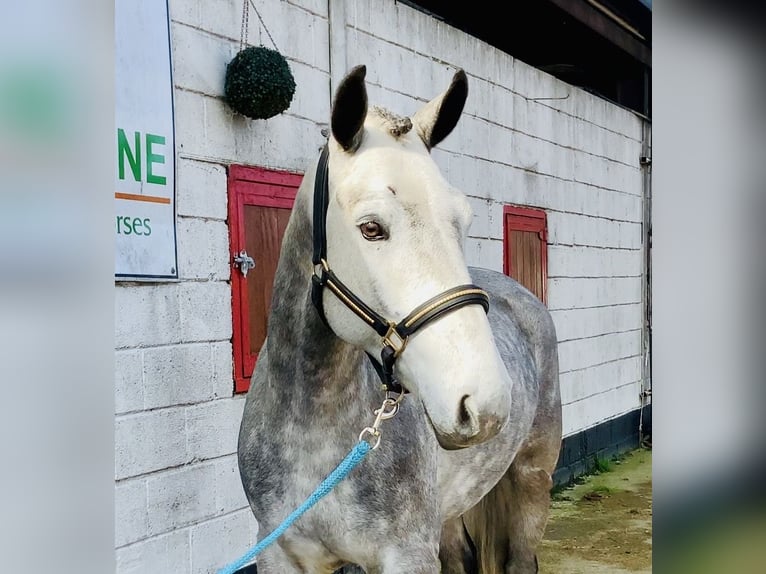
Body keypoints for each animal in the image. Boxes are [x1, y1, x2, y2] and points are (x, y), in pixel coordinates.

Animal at [237, 65, 562, 574]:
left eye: (462, 218)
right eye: (371, 227)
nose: (485, 404)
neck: (313, 426)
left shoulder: (406, 554)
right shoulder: (280, 555)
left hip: (530, 481)